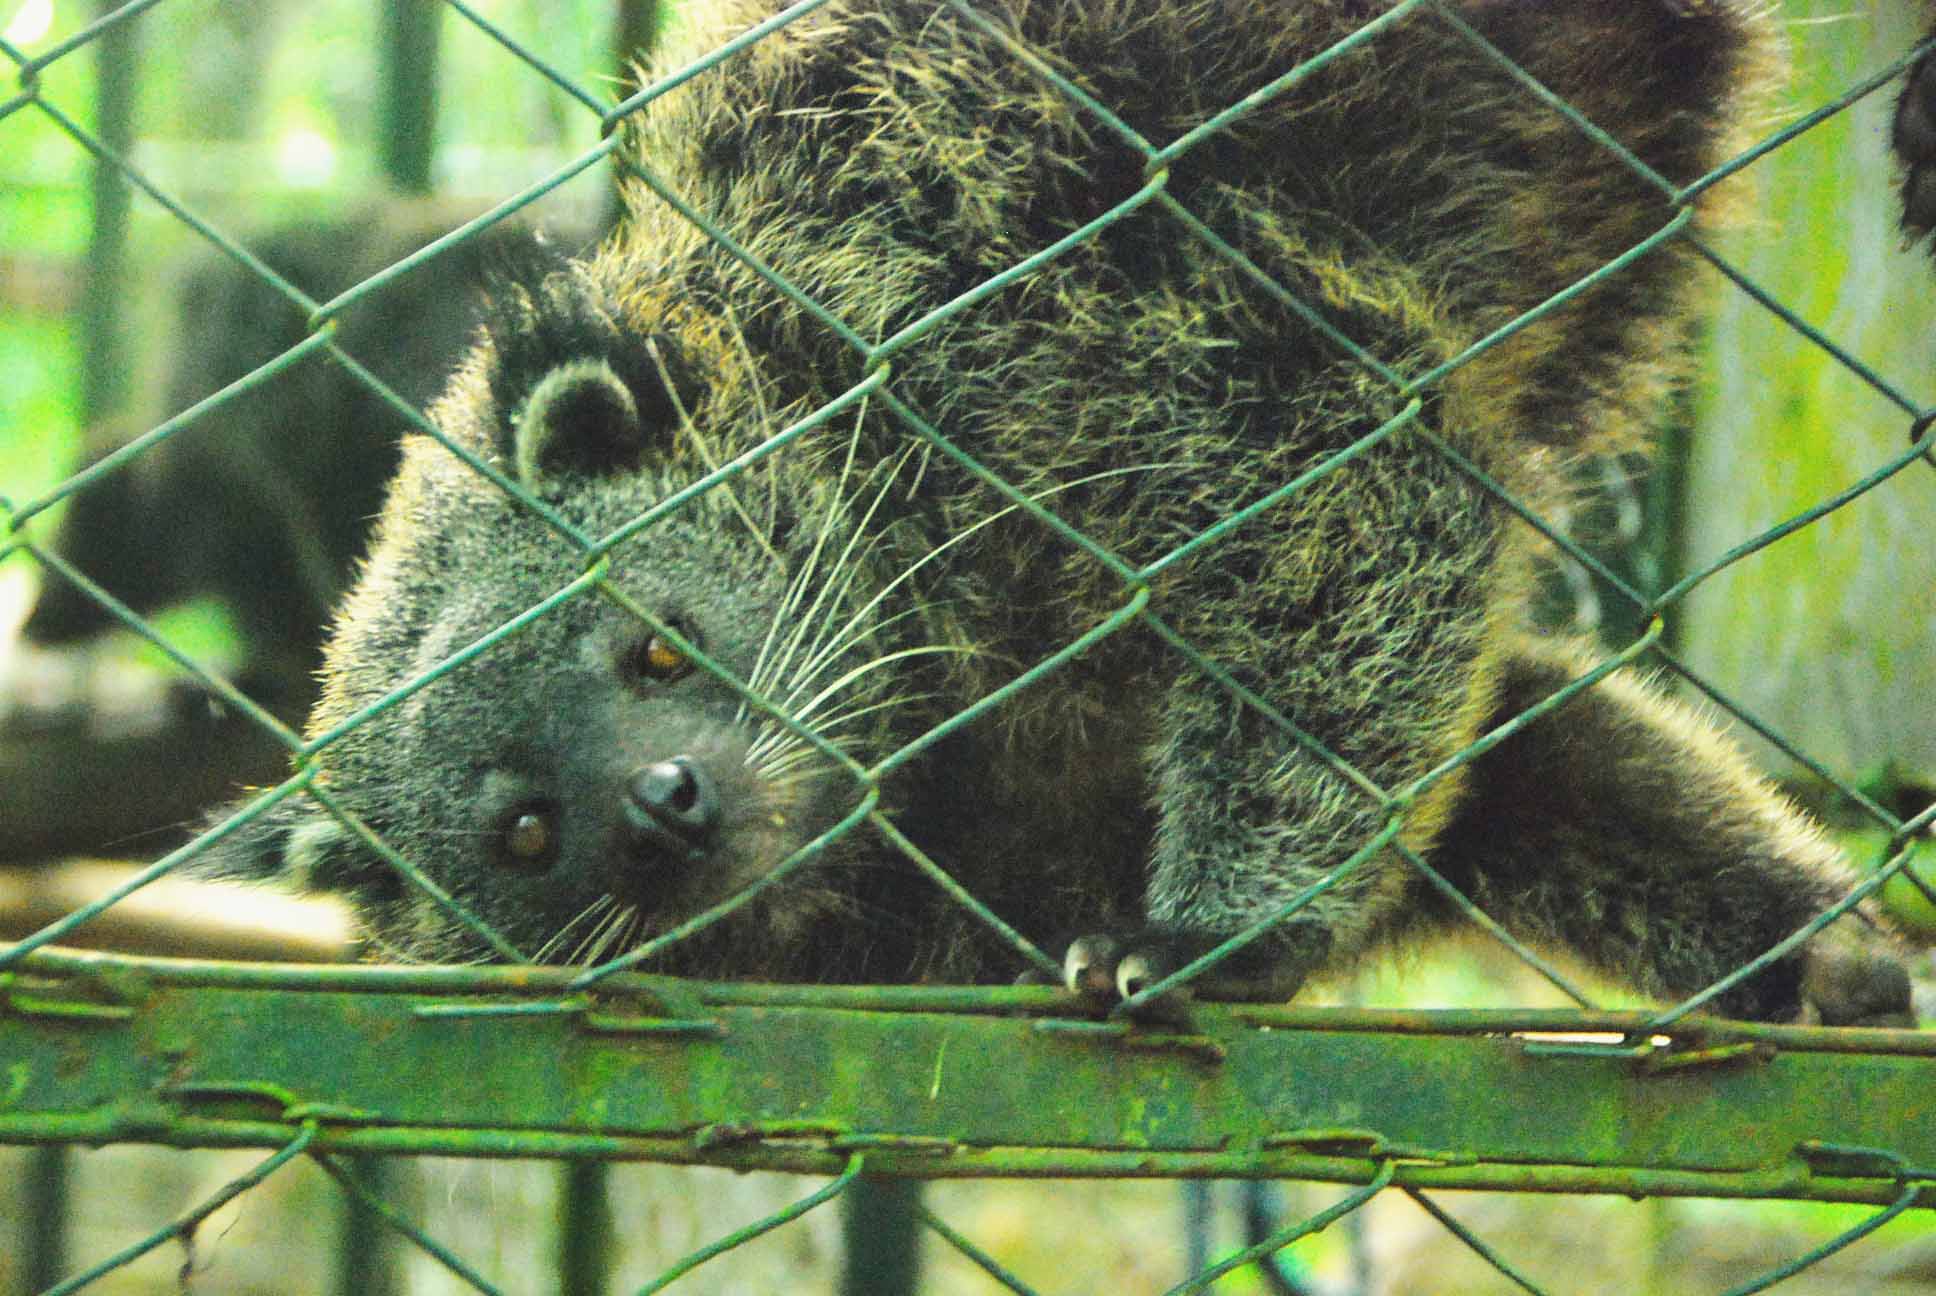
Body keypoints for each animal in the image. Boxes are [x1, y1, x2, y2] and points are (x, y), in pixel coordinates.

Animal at [195, 0, 1931, 1024]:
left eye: (655, 650)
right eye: (526, 831)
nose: (667, 805)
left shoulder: (1049, 296)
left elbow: (1355, 492)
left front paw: (1227, 924)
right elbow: (1536, 767)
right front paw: (1808, 950)